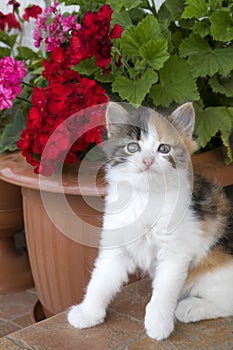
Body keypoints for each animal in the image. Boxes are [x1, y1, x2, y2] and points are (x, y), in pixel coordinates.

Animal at [67, 102, 233, 340]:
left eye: (163, 149)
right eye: (132, 148)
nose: (147, 160)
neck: (146, 196)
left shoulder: (175, 253)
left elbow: (164, 290)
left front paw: (158, 323)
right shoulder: (116, 247)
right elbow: (100, 280)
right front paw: (87, 313)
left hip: (214, 269)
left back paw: (191, 307)